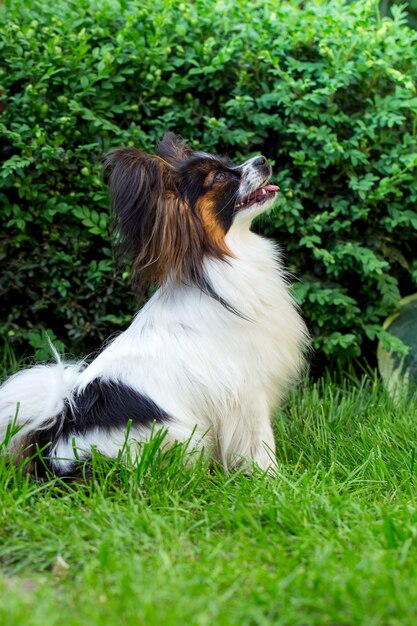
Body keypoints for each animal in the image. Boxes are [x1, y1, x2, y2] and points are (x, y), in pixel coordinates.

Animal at [0, 132, 308, 472]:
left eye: (227, 163)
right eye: (219, 177)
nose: (263, 159)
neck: (226, 257)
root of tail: (54, 439)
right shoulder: (247, 391)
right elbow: (260, 444)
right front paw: (274, 478)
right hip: (179, 435)